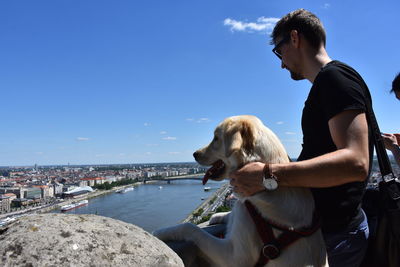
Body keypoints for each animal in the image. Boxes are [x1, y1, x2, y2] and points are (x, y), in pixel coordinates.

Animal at [153, 115, 328, 267]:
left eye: (216, 138)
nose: (194, 154)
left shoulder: (234, 258)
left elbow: (191, 228)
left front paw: (161, 232)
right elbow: (231, 214)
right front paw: (219, 215)